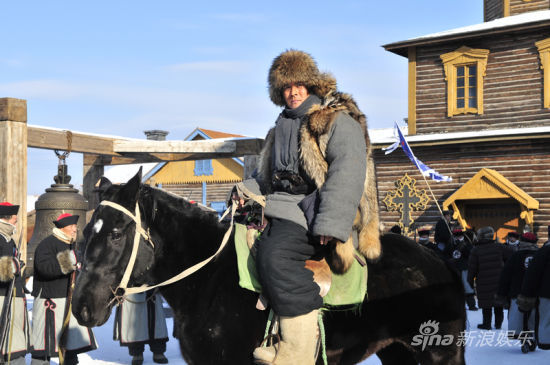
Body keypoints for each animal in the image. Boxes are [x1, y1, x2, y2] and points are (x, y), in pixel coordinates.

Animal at [72, 171, 470, 364]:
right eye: (86, 233)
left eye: (117, 233)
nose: (81, 307)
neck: (209, 280)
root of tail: (439, 262)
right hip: (397, 352)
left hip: (439, 353)